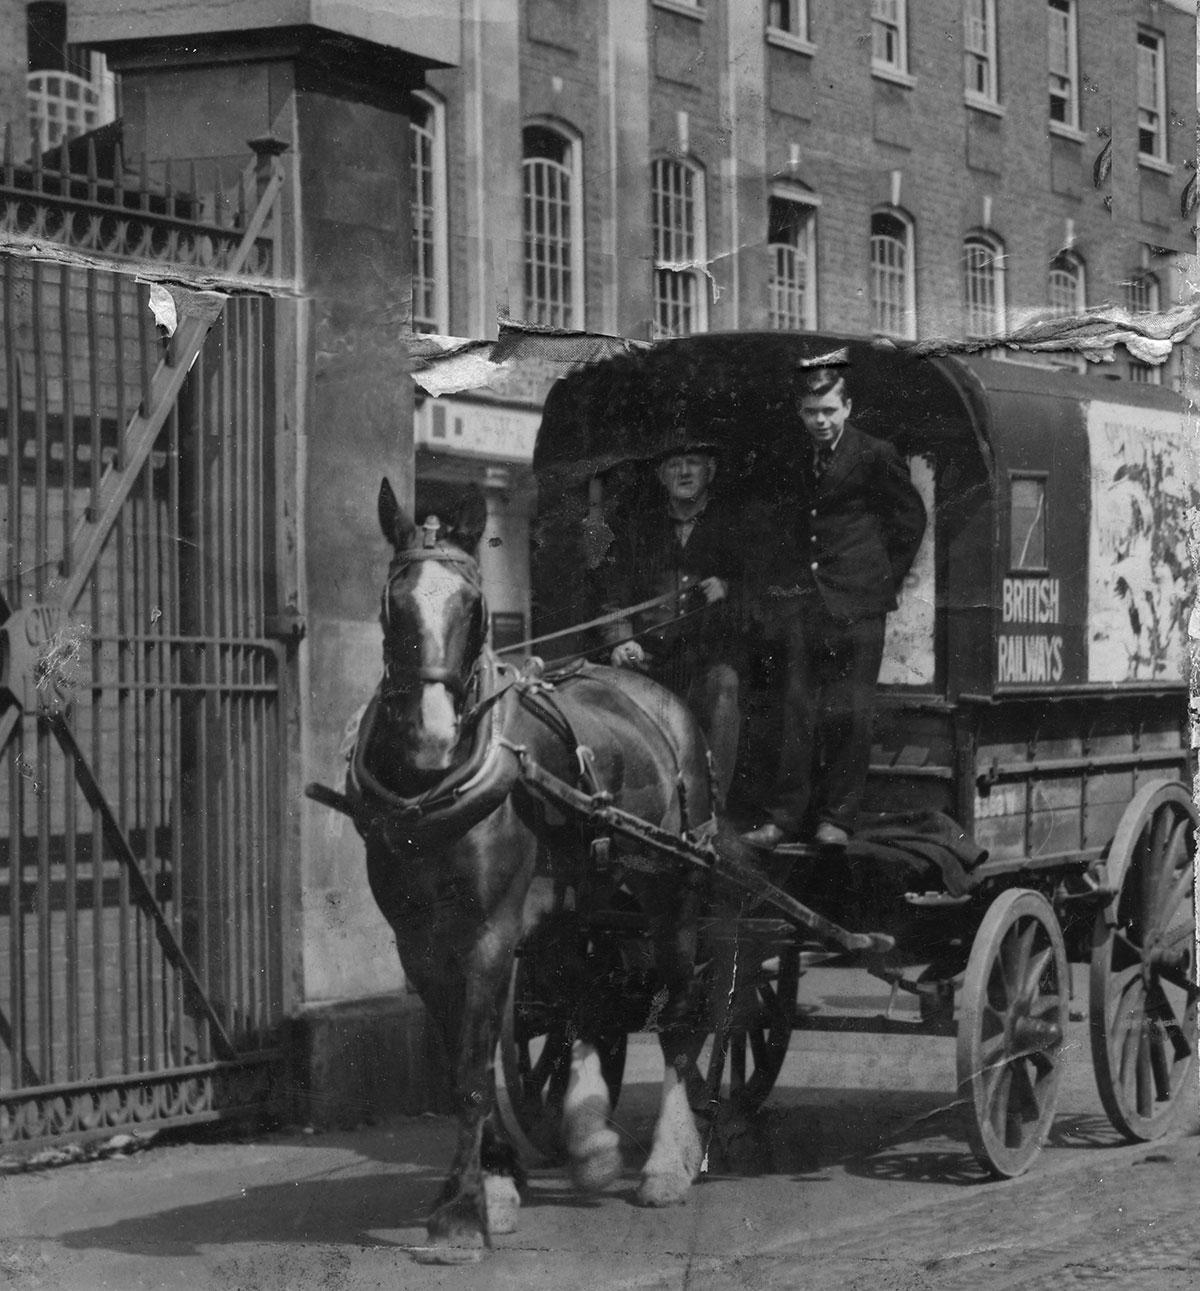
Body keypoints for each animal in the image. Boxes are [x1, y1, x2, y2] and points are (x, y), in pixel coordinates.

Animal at [353, 480, 722, 1254]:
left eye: (474, 605)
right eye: (393, 604)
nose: (434, 737)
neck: (436, 790)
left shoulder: (491, 932)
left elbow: (472, 1067)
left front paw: (464, 1211)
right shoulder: (419, 943)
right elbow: (464, 1060)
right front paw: (495, 1179)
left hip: (674, 893)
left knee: (680, 1015)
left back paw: (667, 1163)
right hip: (581, 906)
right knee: (587, 1003)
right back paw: (590, 1138)